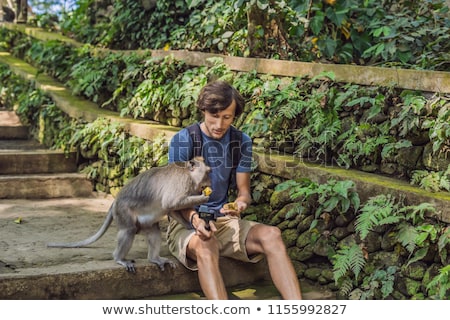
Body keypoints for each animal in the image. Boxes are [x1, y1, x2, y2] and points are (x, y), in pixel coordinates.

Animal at [48, 156, 210, 272]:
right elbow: (170, 203)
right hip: (122, 211)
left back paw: (154, 258)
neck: (189, 174)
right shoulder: (182, 182)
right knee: (128, 230)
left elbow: (171, 209)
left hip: (144, 222)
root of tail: (115, 200)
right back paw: (119, 258)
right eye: (208, 172)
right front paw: (203, 198)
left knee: (154, 231)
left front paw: (189, 225)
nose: (210, 182)